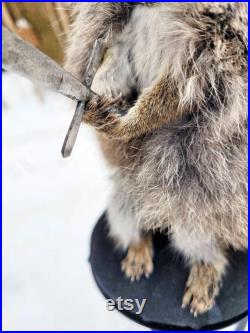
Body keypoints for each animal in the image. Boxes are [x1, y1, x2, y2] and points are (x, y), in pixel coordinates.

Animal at [65, 2, 247, 316]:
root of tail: (159, 218)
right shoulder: (123, 34)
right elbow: (114, 61)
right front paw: (97, 98)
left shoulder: (209, 43)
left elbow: (177, 90)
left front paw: (127, 126)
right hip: (126, 201)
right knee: (129, 218)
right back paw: (138, 247)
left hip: (197, 209)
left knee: (201, 240)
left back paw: (205, 271)